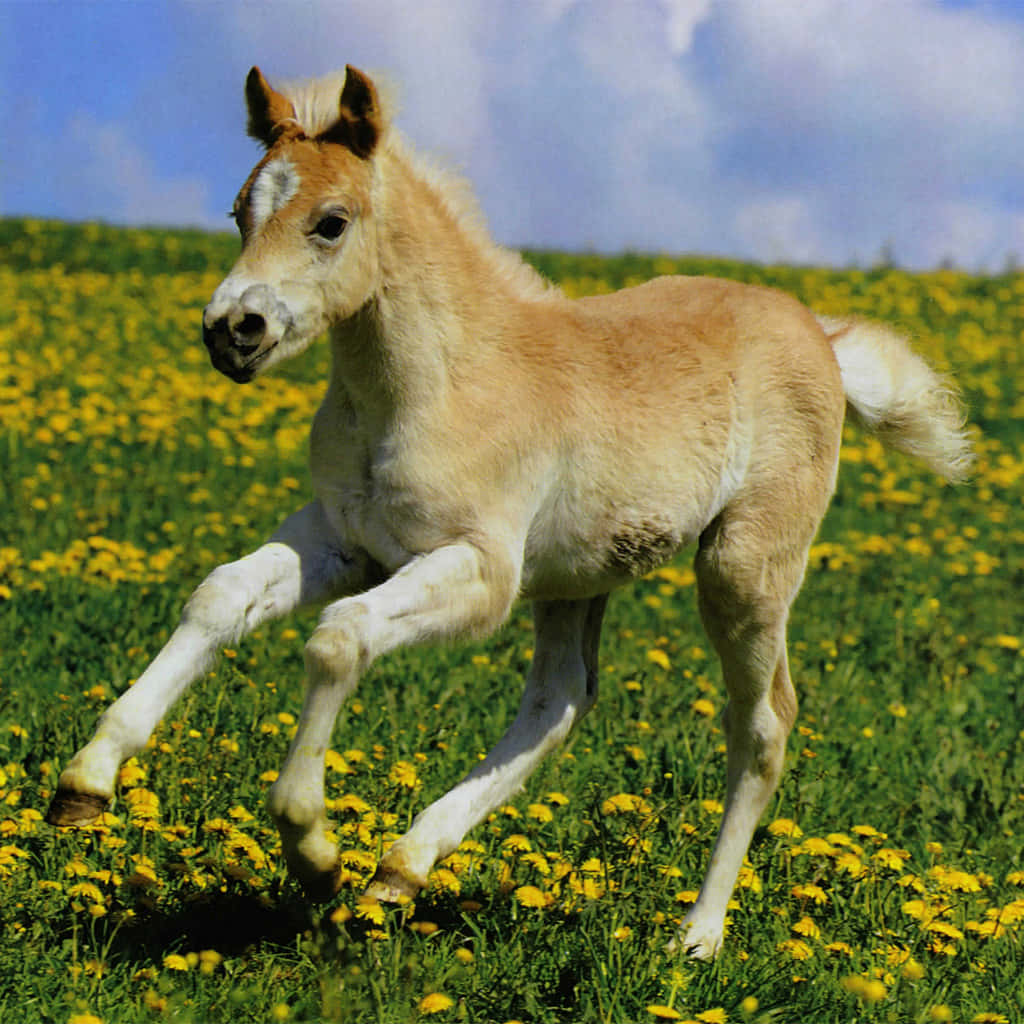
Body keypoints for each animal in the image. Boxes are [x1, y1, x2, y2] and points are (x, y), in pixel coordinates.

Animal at [46, 65, 973, 960]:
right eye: (240, 211)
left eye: (331, 223)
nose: (232, 329)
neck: (436, 385)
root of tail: (823, 336)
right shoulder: (347, 540)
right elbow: (221, 594)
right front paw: (85, 781)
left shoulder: (481, 570)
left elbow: (339, 637)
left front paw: (311, 848)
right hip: (575, 577)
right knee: (560, 700)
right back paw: (401, 870)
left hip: (742, 566)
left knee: (764, 724)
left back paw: (697, 936)